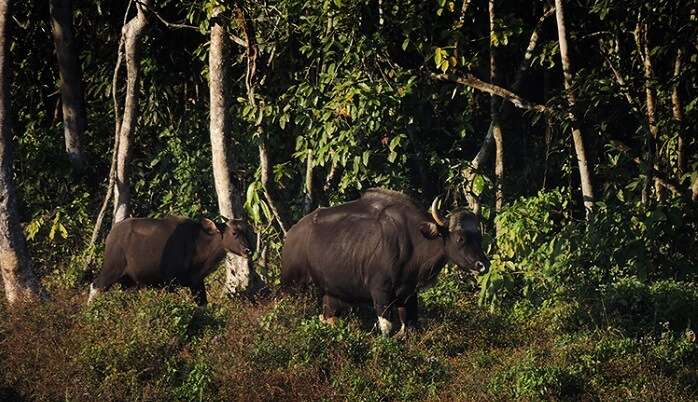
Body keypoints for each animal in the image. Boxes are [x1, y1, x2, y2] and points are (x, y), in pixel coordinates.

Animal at [86, 217, 250, 304]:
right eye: (234, 232)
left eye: (248, 232)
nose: (248, 250)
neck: (197, 244)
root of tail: (112, 233)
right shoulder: (170, 282)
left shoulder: (196, 282)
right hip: (111, 269)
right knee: (95, 286)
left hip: (129, 282)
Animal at [280, 188, 486, 336]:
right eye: (460, 238)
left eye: (479, 236)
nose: (482, 265)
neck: (413, 242)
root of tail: (291, 235)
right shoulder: (381, 293)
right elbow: (387, 329)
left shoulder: (408, 295)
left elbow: (409, 328)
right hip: (290, 286)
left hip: (331, 295)